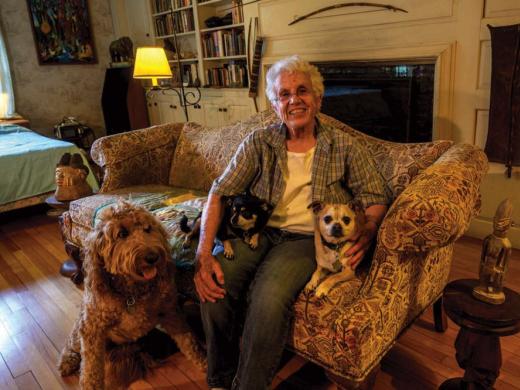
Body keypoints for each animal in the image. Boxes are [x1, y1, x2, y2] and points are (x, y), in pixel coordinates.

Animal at [58, 203, 206, 388]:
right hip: (82, 327)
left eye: (148, 229)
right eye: (122, 234)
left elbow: (188, 341)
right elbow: (91, 369)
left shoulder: (170, 312)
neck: (132, 292)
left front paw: (203, 363)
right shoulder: (93, 328)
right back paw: (67, 361)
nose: (153, 257)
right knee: (71, 342)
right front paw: (90, 384)